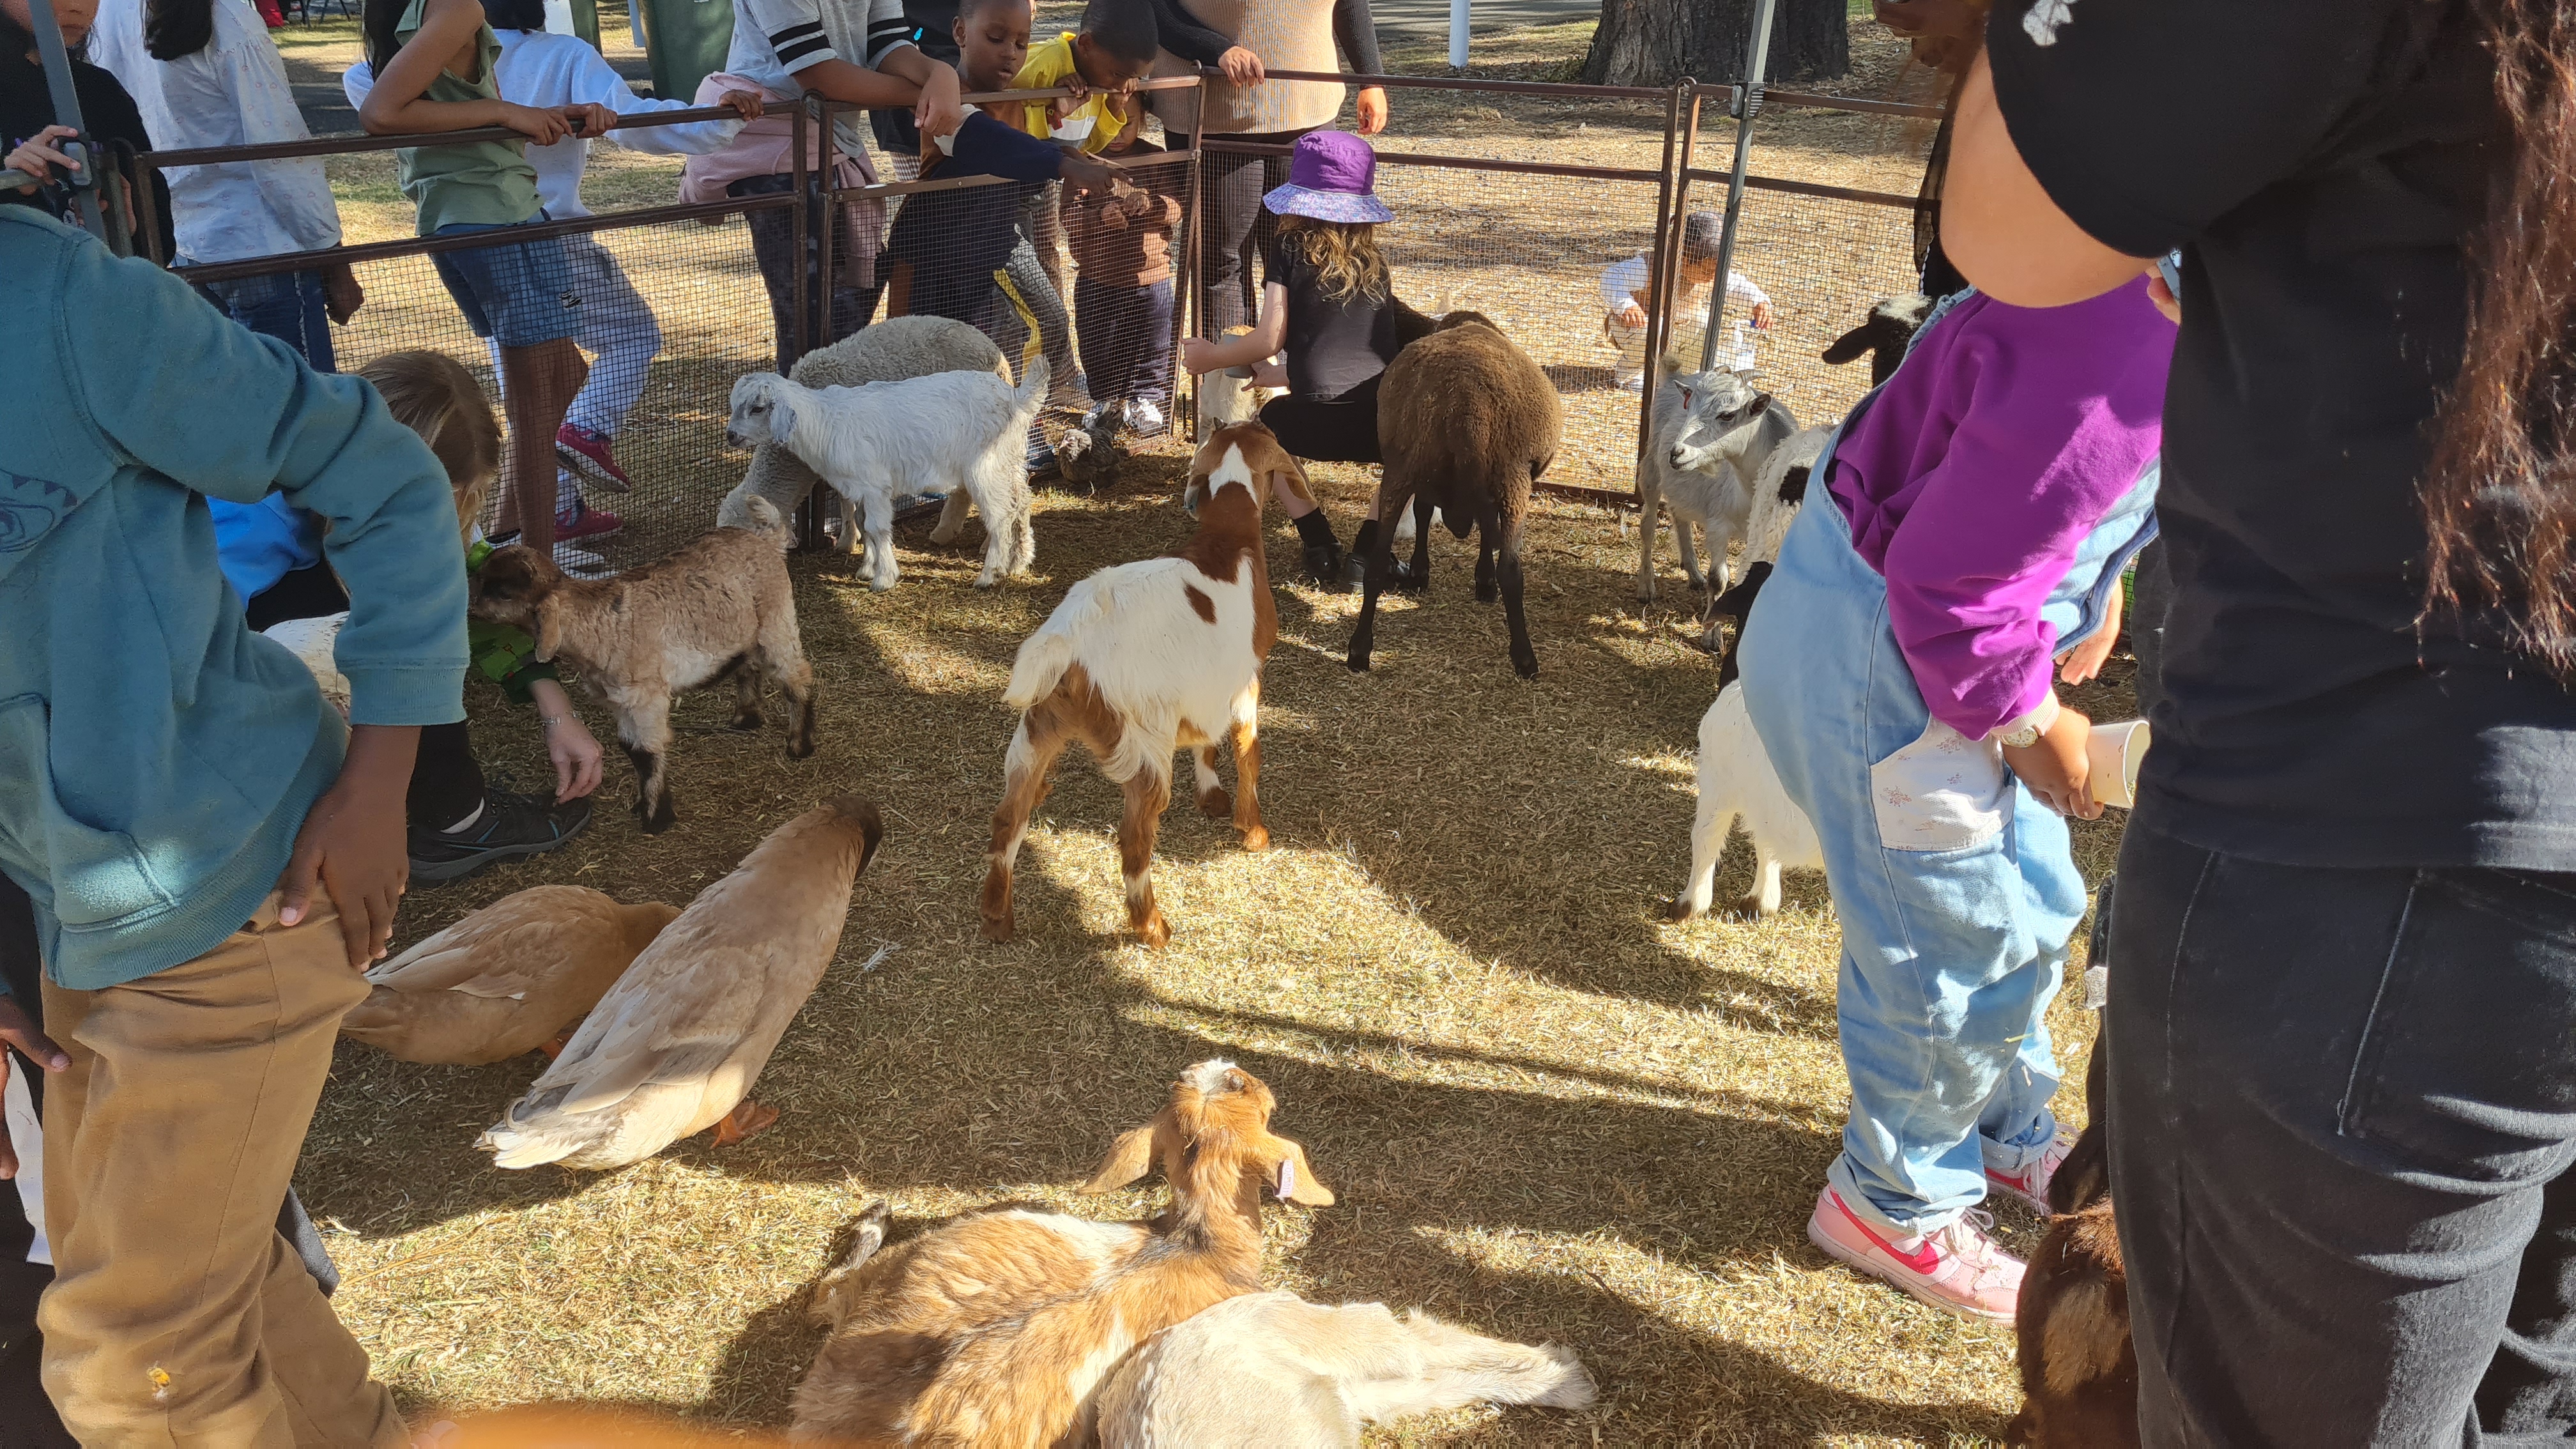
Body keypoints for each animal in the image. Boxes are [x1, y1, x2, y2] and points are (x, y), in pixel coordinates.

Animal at [783, 1057, 1329, 1433]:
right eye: (1251, 1091)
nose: (1228, 1066)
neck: (1199, 1242)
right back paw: (876, 1220)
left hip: (899, 1267)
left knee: (829, 1295)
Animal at [974, 417, 1298, 944]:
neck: (1227, 540)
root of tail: (1069, 642)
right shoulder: (1246, 677)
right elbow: (1248, 751)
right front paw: (1252, 832)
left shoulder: (1206, 680)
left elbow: (1206, 741)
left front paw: (1211, 796)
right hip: (1144, 739)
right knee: (1134, 838)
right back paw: (1151, 927)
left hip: (1037, 729)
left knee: (1008, 819)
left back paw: (998, 918)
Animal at [1360, 309, 1556, 675]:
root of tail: (1467, 407)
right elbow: (1487, 530)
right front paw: (1484, 581)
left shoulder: (1429, 482)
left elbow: (1426, 514)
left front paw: (1420, 573)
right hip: (1514, 479)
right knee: (1511, 570)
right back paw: (1525, 658)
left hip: (1401, 466)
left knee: (1376, 563)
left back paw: (1359, 650)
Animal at [1638, 371, 1803, 603]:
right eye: (1689, 408)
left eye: (1727, 415)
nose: (1676, 453)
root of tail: (1676, 376)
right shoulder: (1718, 524)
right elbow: (1718, 580)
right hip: (1652, 465)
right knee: (1648, 524)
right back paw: (1646, 587)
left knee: (1679, 514)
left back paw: (1694, 575)